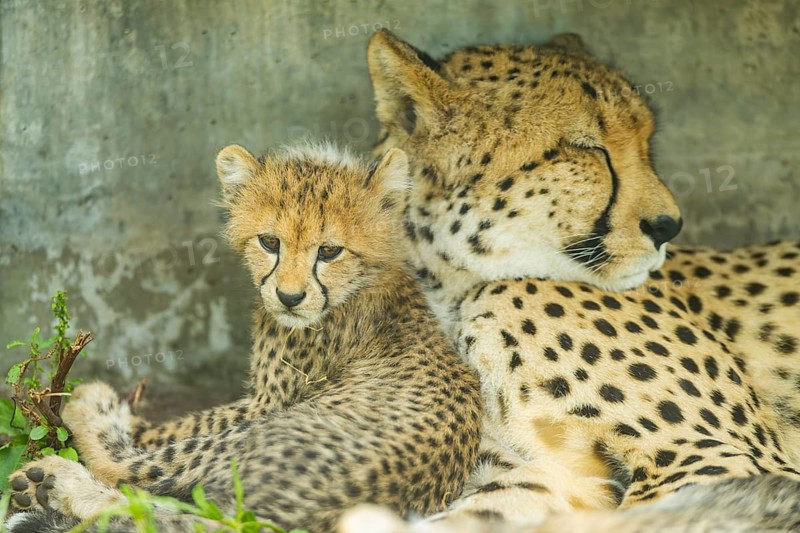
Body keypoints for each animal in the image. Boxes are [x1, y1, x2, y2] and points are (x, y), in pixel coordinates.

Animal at [6, 142, 483, 533]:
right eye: (270, 242)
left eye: (329, 250)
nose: (289, 297)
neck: (365, 281)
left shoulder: (265, 403)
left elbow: (164, 429)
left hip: (253, 439)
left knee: (130, 473)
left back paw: (60, 466)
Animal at [346, 29, 800, 531]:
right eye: (587, 148)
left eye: (646, 143)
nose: (669, 226)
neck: (451, 287)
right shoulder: (544, 472)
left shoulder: (721, 456)